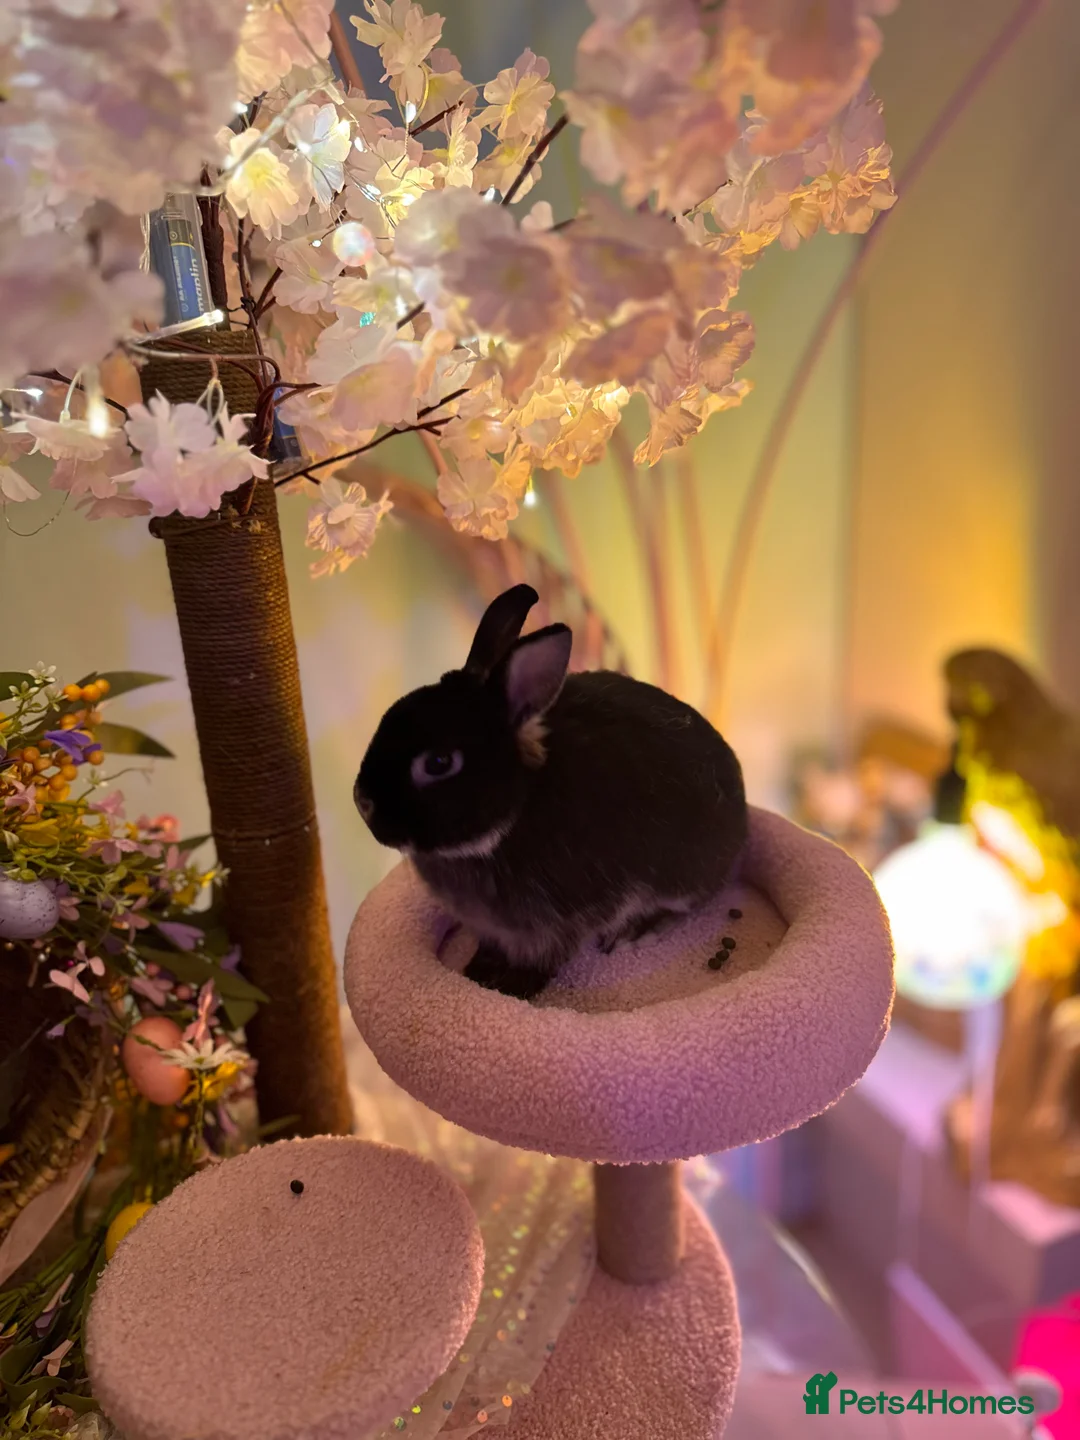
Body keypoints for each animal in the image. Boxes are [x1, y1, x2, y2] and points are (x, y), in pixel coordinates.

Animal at [354, 583, 748, 1001]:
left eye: (439, 762)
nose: (362, 801)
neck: (508, 822)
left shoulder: (562, 923)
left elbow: (545, 960)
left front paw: (512, 989)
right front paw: (477, 971)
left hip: (682, 875)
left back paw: (636, 931)